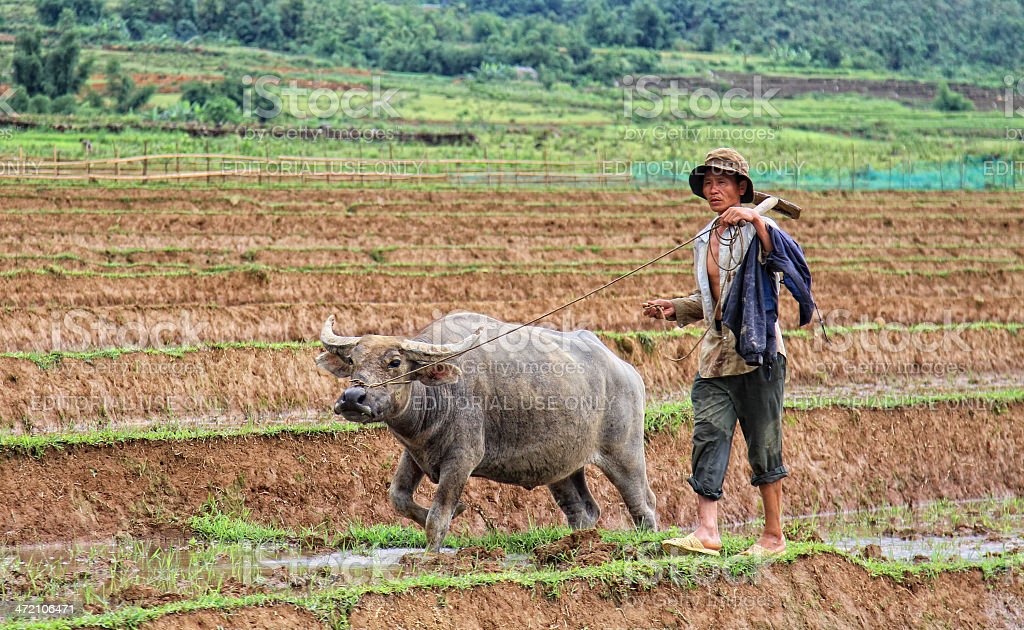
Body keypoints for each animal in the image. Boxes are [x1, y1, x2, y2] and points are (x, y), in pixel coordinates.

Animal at [315, 311, 659, 553]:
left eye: (395, 362)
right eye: (352, 360)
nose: (352, 398)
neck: (438, 397)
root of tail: (626, 369)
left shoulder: (461, 460)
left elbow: (438, 517)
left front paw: (429, 556)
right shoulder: (414, 454)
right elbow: (397, 497)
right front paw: (459, 510)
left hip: (624, 453)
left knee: (643, 503)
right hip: (564, 466)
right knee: (583, 510)